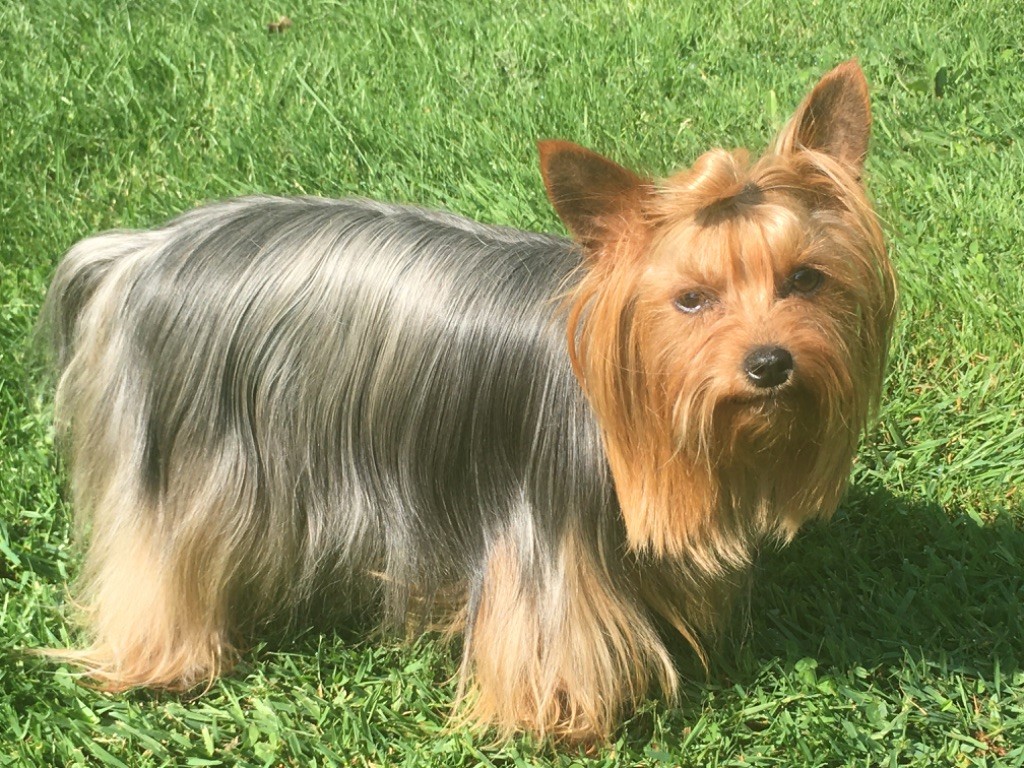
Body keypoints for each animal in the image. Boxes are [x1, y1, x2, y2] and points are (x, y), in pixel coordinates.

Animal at [42, 60, 896, 743]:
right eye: (690, 300)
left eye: (805, 279)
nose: (770, 364)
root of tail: (142, 252)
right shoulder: (543, 542)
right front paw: (562, 721)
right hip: (190, 462)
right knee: (157, 560)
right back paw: (167, 662)